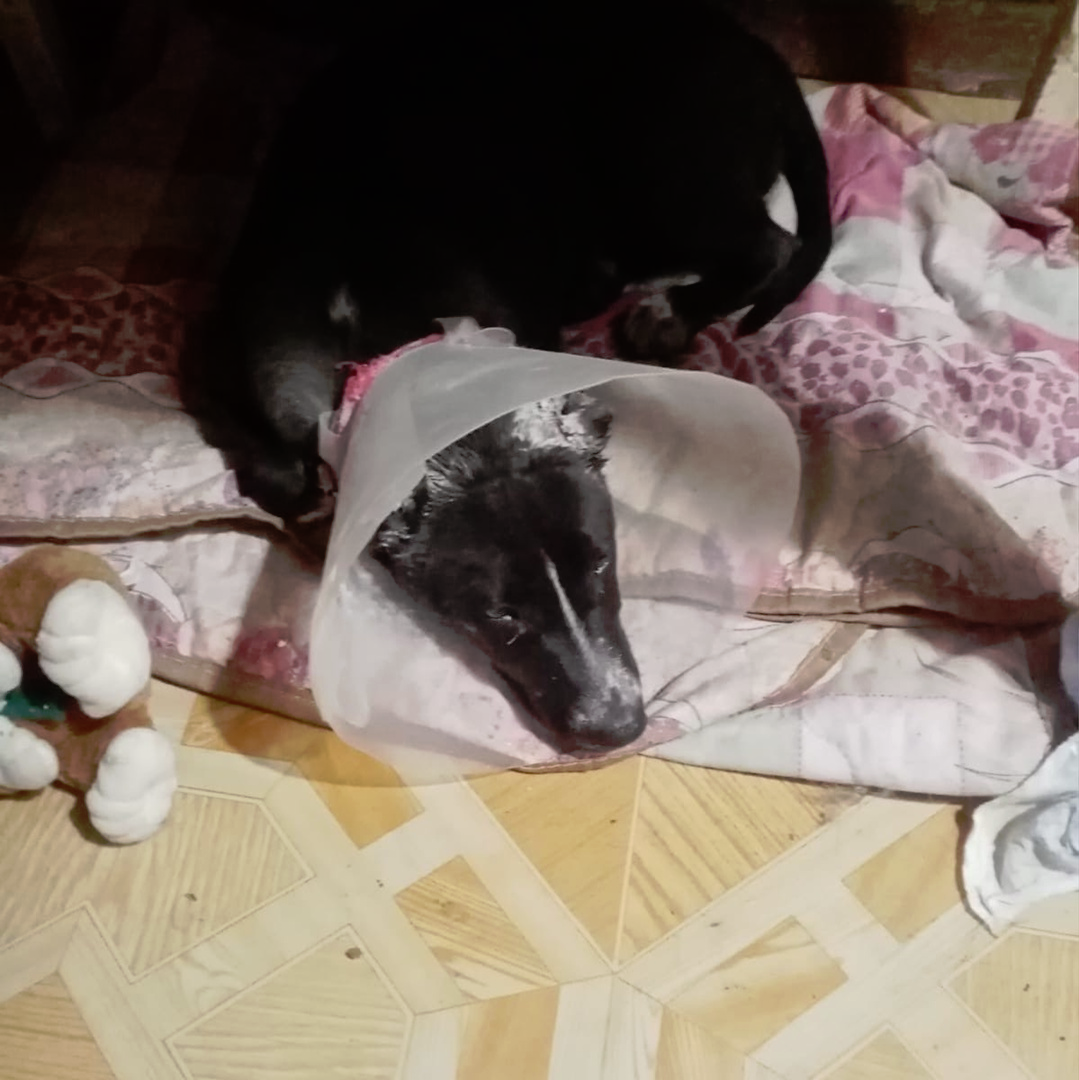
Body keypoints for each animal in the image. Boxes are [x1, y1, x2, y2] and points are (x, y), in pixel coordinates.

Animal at [194, 0, 830, 751]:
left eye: (602, 564)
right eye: (499, 617)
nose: (619, 726)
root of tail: (754, 48)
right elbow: (279, 474)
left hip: (661, 167)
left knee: (770, 244)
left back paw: (666, 315)